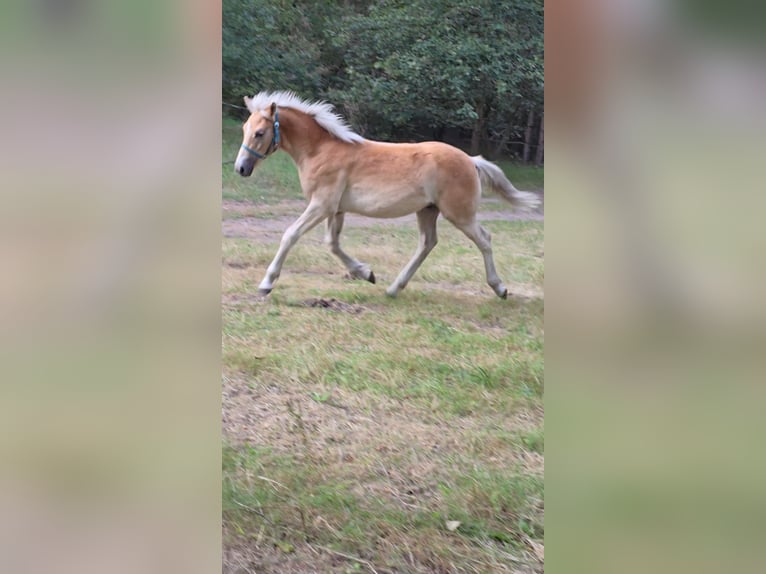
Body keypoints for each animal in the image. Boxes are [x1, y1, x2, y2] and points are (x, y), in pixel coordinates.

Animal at [234, 92, 540, 300]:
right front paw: (366, 273)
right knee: (427, 243)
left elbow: (290, 235)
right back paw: (394, 288)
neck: (320, 150)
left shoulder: (321, 205)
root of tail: (471, 160)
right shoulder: (336, 209)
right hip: (428, 210)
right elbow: (332, 244)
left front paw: (266, 284)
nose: (241, 168)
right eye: (244, 130)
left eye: (259, 133)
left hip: (459, 213)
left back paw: (500, 288)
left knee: (484, 239)